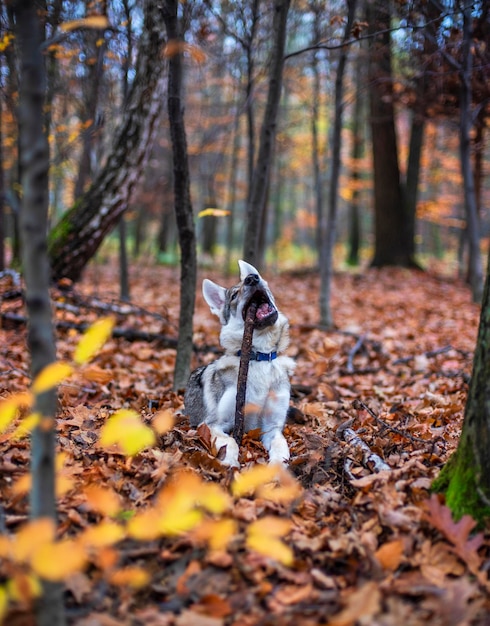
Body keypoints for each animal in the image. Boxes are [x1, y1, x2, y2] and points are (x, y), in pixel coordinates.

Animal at [183, 256, 292, 466]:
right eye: (234, 295)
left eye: (259, 278)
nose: (252, 278)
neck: (258, 357)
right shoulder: (214, 424)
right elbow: (231, 443)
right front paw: (231, 466)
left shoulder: (272, 427)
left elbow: (281, 449)